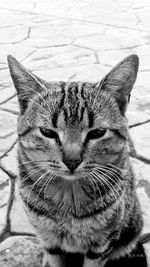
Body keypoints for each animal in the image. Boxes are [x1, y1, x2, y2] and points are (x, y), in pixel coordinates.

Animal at [7, 55, 147, 267]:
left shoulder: (102, 244)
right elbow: (54, 260)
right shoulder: (48, 240)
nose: (72, 161)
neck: (68, 195)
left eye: (97, 133)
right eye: (47, 132)